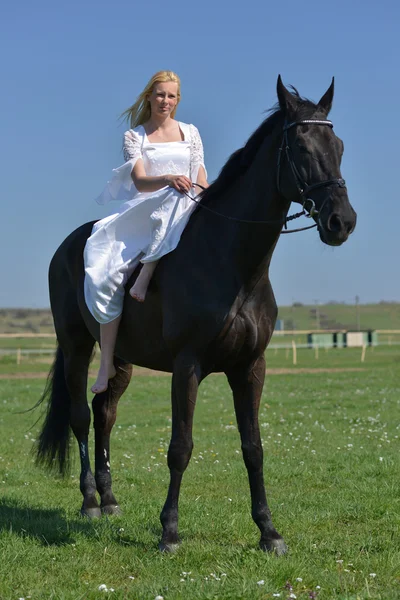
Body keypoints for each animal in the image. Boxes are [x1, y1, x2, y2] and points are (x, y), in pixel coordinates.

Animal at [36, 77, 358, 556]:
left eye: (337, 145)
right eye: (301, 147)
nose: (342, 221)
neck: (232, 264)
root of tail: (69, 245)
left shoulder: (250, 367)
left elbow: (253, 448)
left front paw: (269, 531)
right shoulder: (187, 366)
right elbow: (180, 447)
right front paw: (169, 532)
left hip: (120, 356)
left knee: (104, 411)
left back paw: (110, 499)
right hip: (76, 345)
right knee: (80, 415)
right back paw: (91, 501)